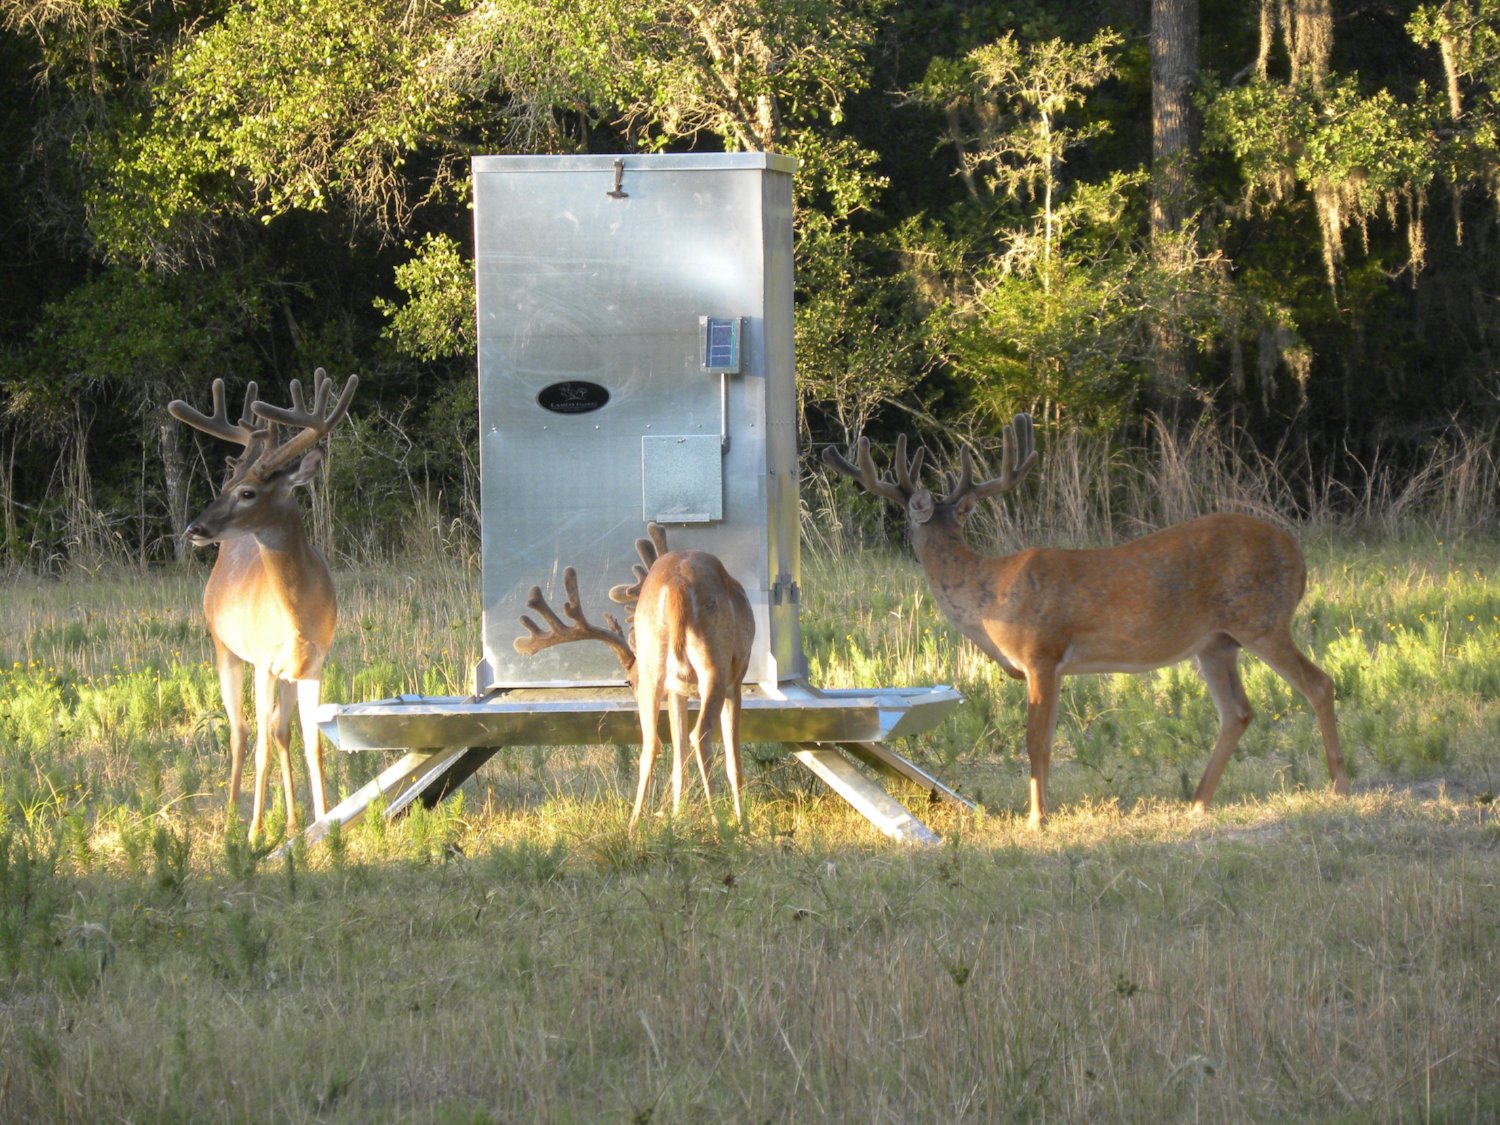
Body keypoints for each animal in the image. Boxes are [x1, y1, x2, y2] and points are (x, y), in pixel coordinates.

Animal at [168, 370, 358, 840]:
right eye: (225, 487)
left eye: (248, 493)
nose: (194, 528)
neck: (296, 615)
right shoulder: (261, 662)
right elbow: (258, 750)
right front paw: (255, 831)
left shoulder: (315, 663)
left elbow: (312, 744)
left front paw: (323, 825)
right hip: (224, 649)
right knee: (239, 732)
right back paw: (232, 818)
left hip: (286, 673)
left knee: (279, 730)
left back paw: (289, 819)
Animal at [516, 528, 756, 828]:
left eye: (627, 680)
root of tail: (675, 588)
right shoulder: (735, 681)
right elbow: (734, 762)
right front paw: (742, 822)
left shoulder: (675, 690)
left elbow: (679, 760)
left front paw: (677, 816)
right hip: (715, 664)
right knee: (701, 735)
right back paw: (720, 824)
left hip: (654, 662)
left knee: (651, 743)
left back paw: (634, 826)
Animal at [822, 411, 1350, 828]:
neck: (985, 593)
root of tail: (1298, 555)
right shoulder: (1051, 665)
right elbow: (1047, 738)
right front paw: (1042, 812)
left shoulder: (1041, 651)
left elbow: (1035, 740)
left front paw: (1037, 819)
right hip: (1215, 643)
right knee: (1238, 711)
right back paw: (1198, 803)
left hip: (1261, 619)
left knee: (1319, 683)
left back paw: (1339, 786)